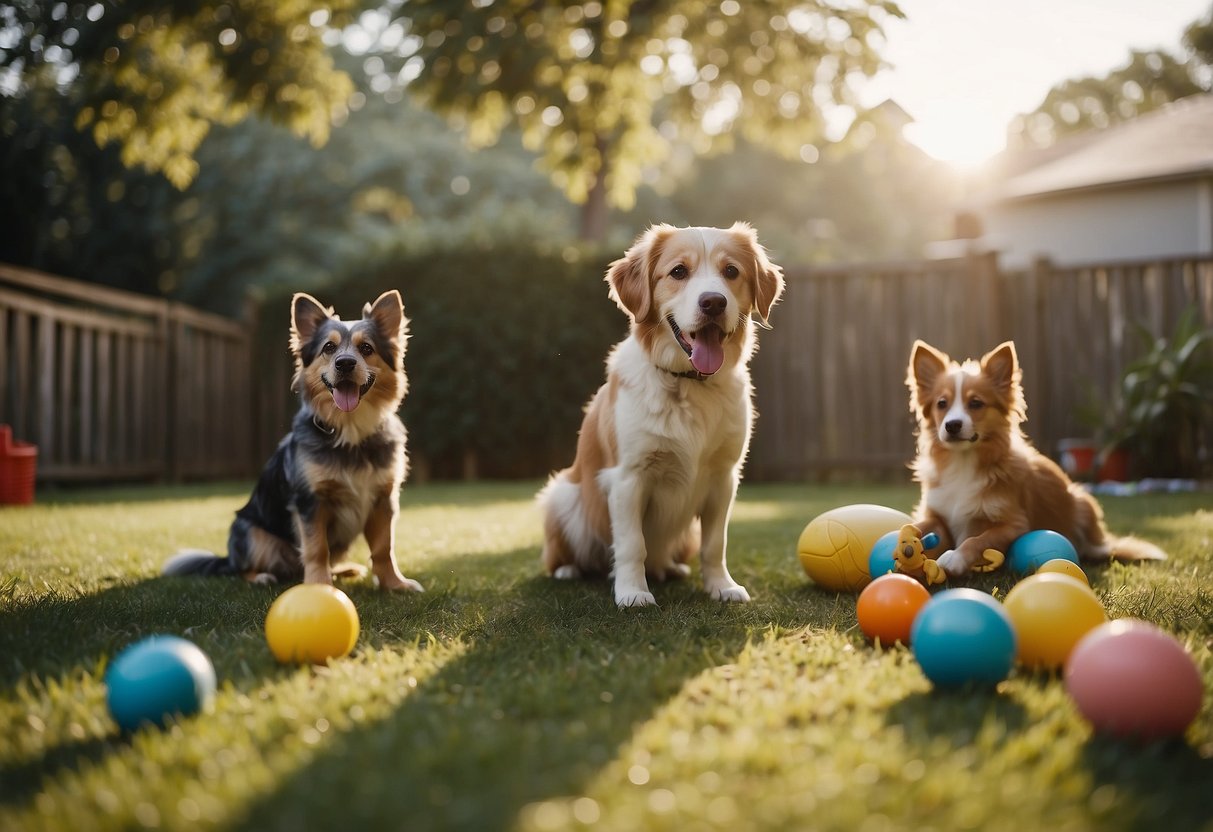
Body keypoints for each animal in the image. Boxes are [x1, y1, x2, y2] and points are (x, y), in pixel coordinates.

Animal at [166, 292, 422, 594]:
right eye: (329, 347)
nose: (345, 363)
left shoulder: (384, 499)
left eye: (366, 348)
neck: (350, 431)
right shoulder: (310, 501)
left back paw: (344, 569)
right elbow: (316, 549)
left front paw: (395, 584)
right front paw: (318, 587)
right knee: (243, 569)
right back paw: (261, 576)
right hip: (250, 532)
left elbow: (384, 548)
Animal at [540, 224, 786, 608]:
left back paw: (672, 568)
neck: (688, 384)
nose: (713, 302)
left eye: (731, 271)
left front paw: (722, 586)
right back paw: (569, 570)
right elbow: (631, 545)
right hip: (562, 495)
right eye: (678, 272)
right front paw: (632, 592)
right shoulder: (629, 477)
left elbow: (715, 545)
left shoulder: (724, 478)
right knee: (561, 555)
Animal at [912, 339, 1164, 579]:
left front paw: (956, 558)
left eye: (976, 403)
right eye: (941, 404)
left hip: (1083, 502)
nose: (952, 425)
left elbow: (978, 539)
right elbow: (920, 526)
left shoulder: (1015, 525)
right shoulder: (937, 514)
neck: (963, 461)